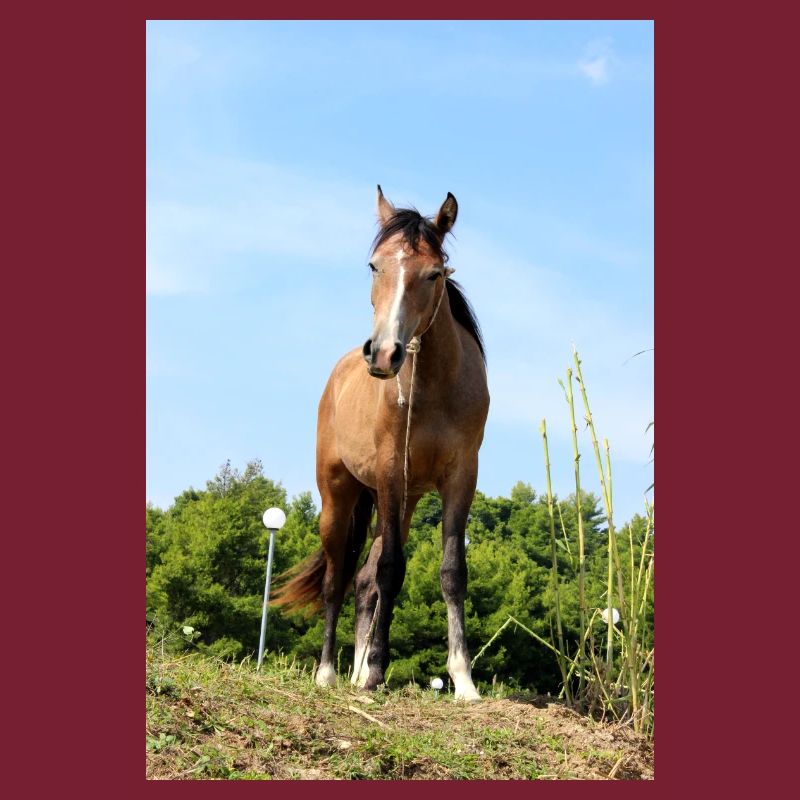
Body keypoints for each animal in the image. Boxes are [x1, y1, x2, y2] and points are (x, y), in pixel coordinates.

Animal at [272, 186, 489, 702]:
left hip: (402, 502)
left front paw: (463, 679)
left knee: (363, 581)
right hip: (340, 497)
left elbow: (451, 572)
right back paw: (330, 673)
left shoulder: (461, 477)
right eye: (374, 266)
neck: (433, 386)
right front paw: (374, 673)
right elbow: (391, 570)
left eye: (434, 273)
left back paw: (352, 670)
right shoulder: (391, 473)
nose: (384, 353)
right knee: (337, 581)